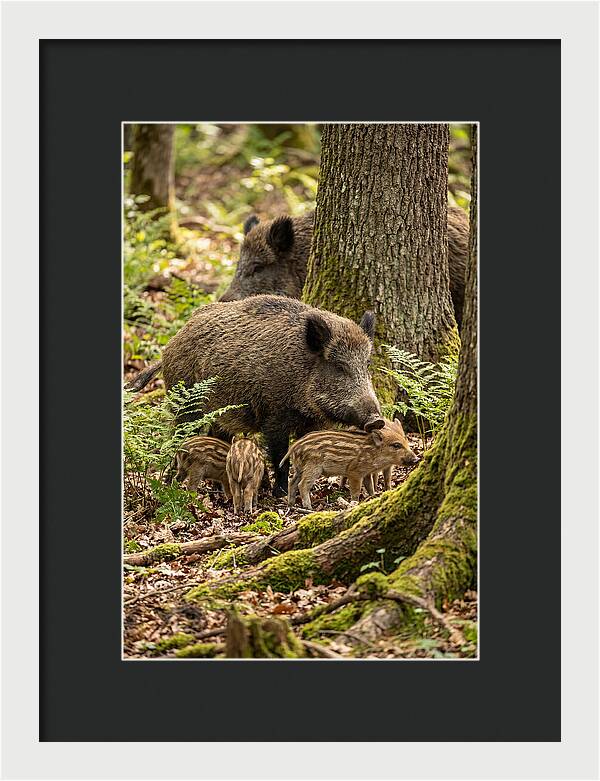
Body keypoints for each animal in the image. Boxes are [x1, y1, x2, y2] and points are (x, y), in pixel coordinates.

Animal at [128, 295, 384, 495]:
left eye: (367, 364)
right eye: (339, 367)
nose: (377, 420)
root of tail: (171, 344)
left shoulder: (313, 423)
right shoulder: (274, 416)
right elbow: (280, 456)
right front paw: (280, 494)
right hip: (186, 404)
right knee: (178, 437)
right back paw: (169, 483)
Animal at [281, 419, 419, 510]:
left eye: (406, 441)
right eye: (396, 445)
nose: (416, 459)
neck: (373, 452)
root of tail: (294, 446)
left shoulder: (366, 473)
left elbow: (369, 486)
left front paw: (373, 497)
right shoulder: (354, 472)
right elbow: (356, 490)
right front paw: (354, 503)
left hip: (299, 468)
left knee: (292, 482)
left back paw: (291, 504)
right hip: (312, 467)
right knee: (302, 484)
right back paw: (308, 508)